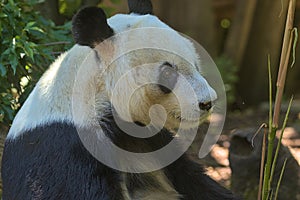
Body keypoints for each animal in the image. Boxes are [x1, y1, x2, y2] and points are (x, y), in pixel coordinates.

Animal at [0, 0, 239, 199]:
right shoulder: (65, 147)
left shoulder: (148, 139)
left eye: (196, 64)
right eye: (168, 74)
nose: (207, 102)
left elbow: (193, 180)